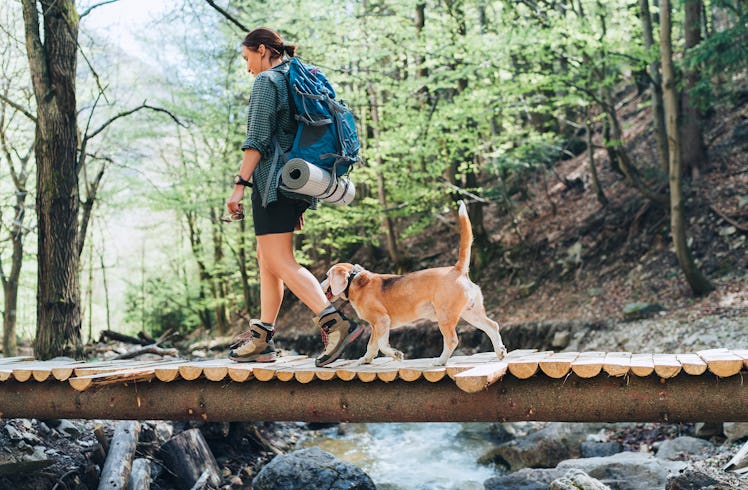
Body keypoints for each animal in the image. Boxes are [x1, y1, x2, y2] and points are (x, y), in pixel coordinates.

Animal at [318, 201, 506, 366]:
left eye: (327, 275)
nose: (319, 285)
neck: (355, 280)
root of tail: (457, 269)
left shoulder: (381, 321)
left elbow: (382, 345)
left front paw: (395, 354)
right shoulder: (375, 326)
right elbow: (371, 346)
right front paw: (365, 360)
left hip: (445, 317)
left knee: (452, 340)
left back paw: (440, 361)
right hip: (471, 313)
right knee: (492, 326)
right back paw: (500, 352)